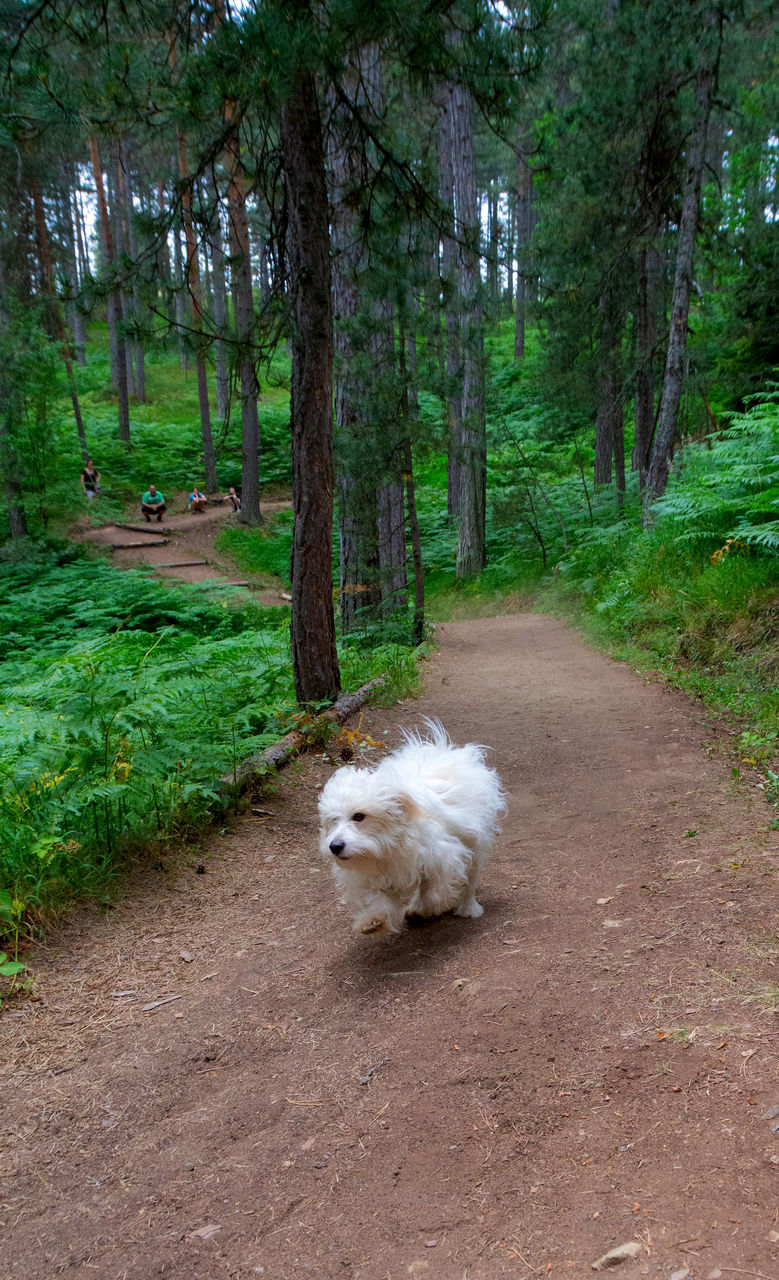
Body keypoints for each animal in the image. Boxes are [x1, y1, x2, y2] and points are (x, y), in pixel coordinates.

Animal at [315, 721, 503, 942]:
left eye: (359, 816)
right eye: (333, 820)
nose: (335, 846)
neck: (384, 846)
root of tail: (444, 750)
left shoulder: (442, 858)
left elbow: (434, 890)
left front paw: (427, 907)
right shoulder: (370, 876)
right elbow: (375, 898)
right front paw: (373, 920)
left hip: (476, 844)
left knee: (471, 878)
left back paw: (468, 908)